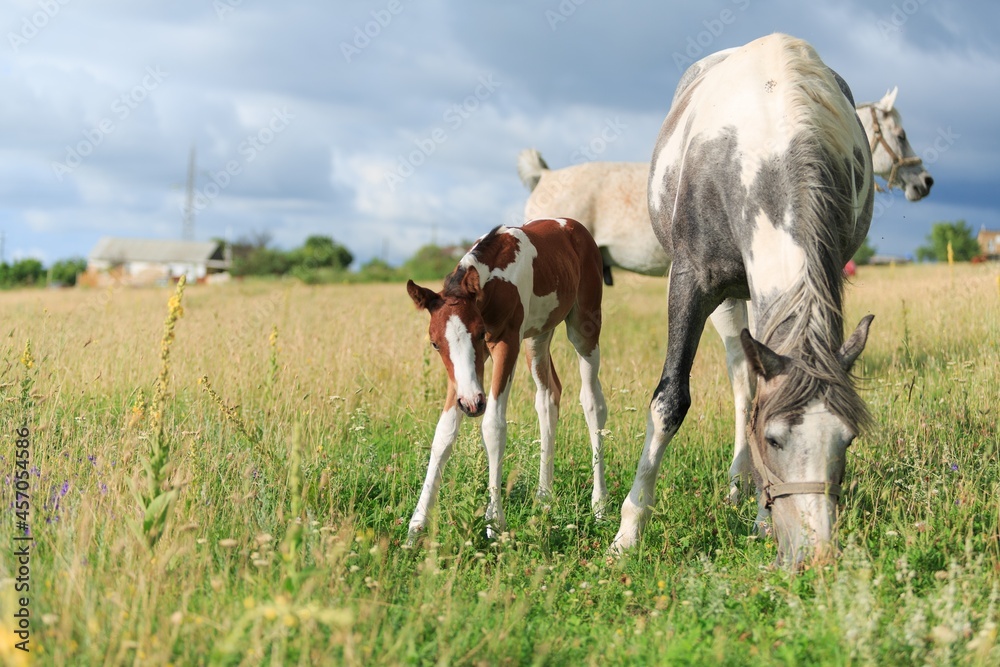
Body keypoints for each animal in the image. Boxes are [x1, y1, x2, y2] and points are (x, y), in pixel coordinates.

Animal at [402, 219, 604, 544]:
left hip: (584, 325)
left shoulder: (506, 343)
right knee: (548, 396)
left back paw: (600, 506)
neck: (495, 280)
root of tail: (574, 227)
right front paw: (416, 526)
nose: (472, 404)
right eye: (434, 344)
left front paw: (494, 523)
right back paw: (543, 497)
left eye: (478, 333)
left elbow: (493, 426)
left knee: (592, 402)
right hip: (537, 338)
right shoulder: (464, 375)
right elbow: (444, 433)